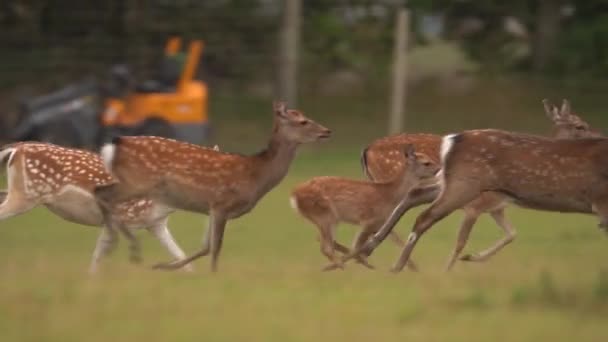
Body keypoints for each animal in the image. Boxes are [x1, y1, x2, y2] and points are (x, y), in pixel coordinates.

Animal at [0, 141, 218, 272]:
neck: (162, 206)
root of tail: (16, 149)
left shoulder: (155, 224)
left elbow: (179, 255)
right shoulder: (126, 215)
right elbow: (102, 253)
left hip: (16, 191)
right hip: (25, 195)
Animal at [95, 100, 332, 272]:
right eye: (303, 121)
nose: (327, 131)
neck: (256, 176)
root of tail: (113, 145)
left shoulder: (211, 208)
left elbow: (205, 247)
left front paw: (164, 266)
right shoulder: (221, 204)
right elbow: (216, 247)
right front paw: (213, 274)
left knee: (101, 194)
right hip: (136, 182)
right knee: (103, 195)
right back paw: (131, 247)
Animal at [292, 146, 440, 272]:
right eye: (426, 163)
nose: (439, 169)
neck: (390, 196)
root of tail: (294, 195)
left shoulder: (379, 223)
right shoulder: (369, 220)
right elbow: (357, 244)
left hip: (325, 218)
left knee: (325, 241)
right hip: (325, 214)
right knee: (326, 247)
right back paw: (342, 266)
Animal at [350, 98, 600, 270]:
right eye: (579, 126)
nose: (599, 136)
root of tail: (365, 149)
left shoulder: (496, 207)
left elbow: (511, 234)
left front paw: (470, 258)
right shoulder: (477, 205)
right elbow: (462, 240)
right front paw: (449, 269)